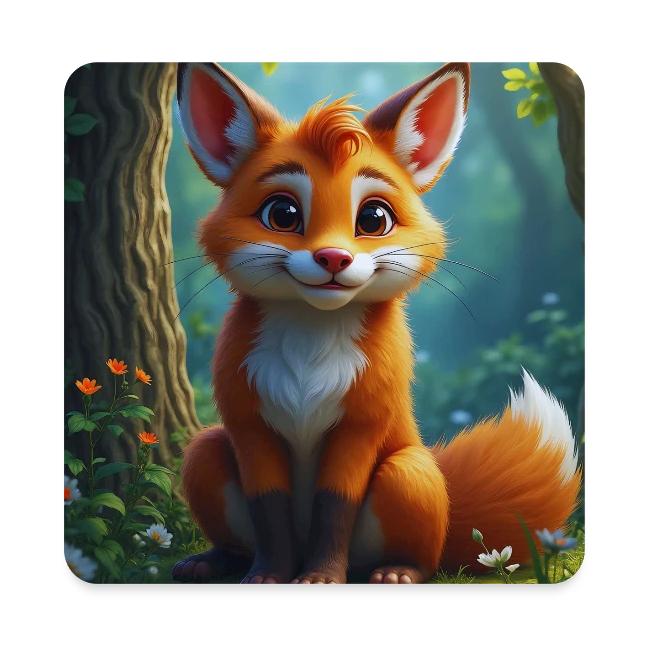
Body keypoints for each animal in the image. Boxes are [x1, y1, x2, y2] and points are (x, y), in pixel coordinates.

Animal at [171, 62, 581, 584]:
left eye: (373, 218)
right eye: (282, 214)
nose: (332, 257)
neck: (310, 351)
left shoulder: (362, 422)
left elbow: (335, 507)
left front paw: (320, 579)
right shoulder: (248, 423)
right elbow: (270, 511)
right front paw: (268, 576)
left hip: (408, 473)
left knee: (426, 559)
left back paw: (396, 571)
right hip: (205, 452)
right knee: (233, 522)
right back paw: (215, 560)